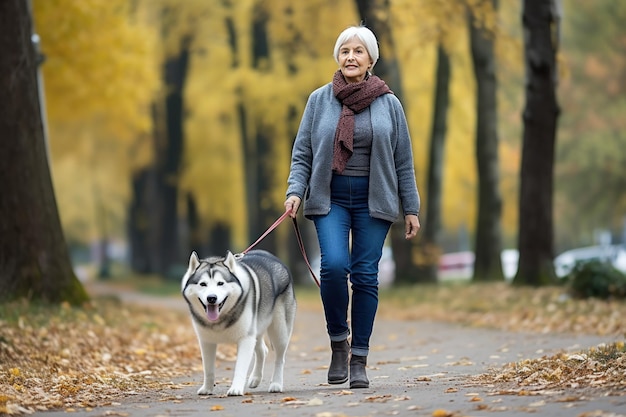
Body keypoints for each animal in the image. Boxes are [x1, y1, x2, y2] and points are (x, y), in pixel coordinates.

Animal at [182, 249, 296, 394]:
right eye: (203, 284)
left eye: (220, 283)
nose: (211, 298)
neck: (221, 319)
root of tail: (274, 257)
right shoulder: (206, 341)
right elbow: (208, 369)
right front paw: (207, 388)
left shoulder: (246, 338)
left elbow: (240, 368)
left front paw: (235, 388)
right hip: (257, 327)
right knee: (262, 350)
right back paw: (255, 378)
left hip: (279, 331)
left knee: (280, 358)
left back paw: (276, 384)